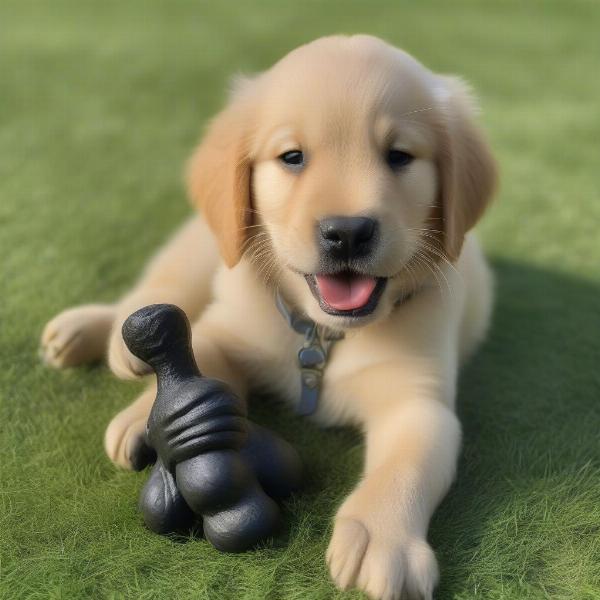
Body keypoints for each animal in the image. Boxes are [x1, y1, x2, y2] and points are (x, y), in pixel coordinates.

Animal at [41, 36, 496, 600]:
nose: (347, 232)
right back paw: (93, 332)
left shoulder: (418, 401)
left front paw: (382, 539)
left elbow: (405, 469)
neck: (324, 333)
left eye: (399, 156)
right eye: (292, 157)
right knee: (157, 289)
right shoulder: (228, 330)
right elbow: (197, 357)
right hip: (202, 246)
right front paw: (145, 415)